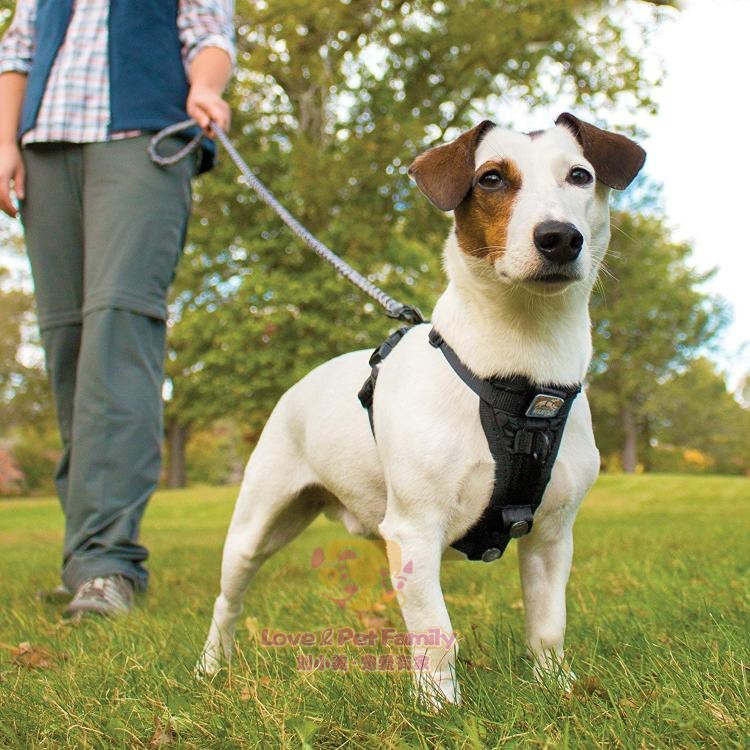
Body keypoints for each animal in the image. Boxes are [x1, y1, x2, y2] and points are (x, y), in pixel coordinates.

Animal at [200, 114, 648, 708]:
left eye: (580, 175)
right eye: (490, 178)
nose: (559, 238)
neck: (519, 377)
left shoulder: (552, 535)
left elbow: (548, 625)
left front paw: (556, 686)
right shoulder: (415, 529)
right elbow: (436, 630)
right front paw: (439, 705)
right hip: (257, 523)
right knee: (227, 600)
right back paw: (210, 666)